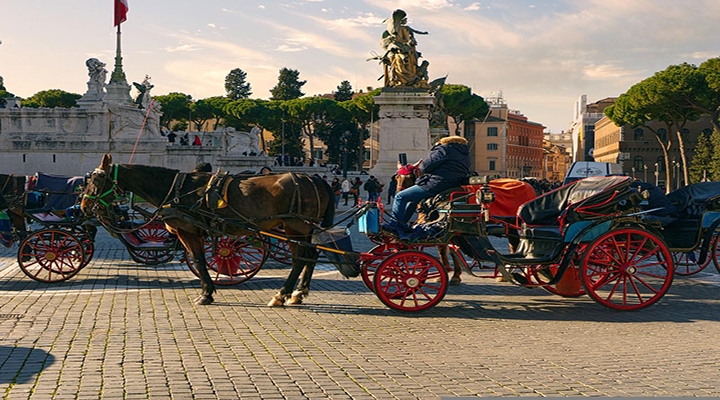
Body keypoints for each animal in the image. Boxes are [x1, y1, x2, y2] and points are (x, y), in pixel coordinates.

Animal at [82, 155, 338, 304]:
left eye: (95, 180)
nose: (84, 206)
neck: (176, 189)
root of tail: (316, 179)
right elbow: (201, 260)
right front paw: (209, 289)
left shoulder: (188, 231)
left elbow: (198, 259)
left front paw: (206, 293)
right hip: (300, 229)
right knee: (309, 256)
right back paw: (298, 293)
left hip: (295, 226)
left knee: (300, 258)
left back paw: (283, 294)